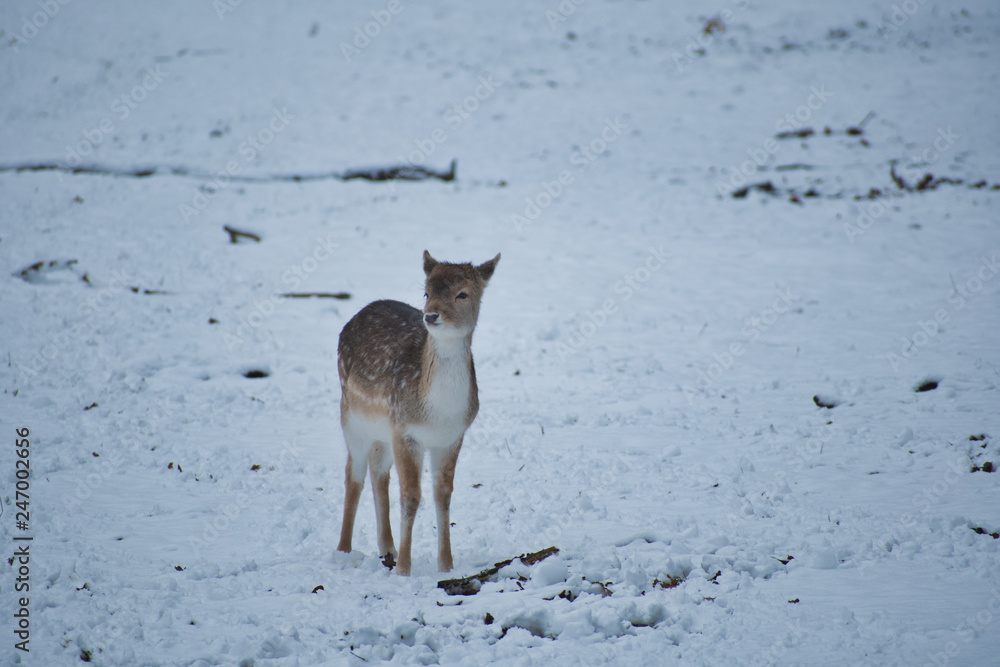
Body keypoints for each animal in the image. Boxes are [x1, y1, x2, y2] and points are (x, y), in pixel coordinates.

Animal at [336, 250, 500, 575]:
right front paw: (404, 569)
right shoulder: (406, 430)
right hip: (351, 415)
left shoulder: (451, 437)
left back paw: (387, 547)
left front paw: (446, 565)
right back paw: (344, 551)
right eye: (427, 291)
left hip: (383, 430)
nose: (431, 315)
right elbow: (411, 496)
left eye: (462, 294)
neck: (437, 414)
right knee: (353, 472)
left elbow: (443, 495)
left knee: (378, 469)